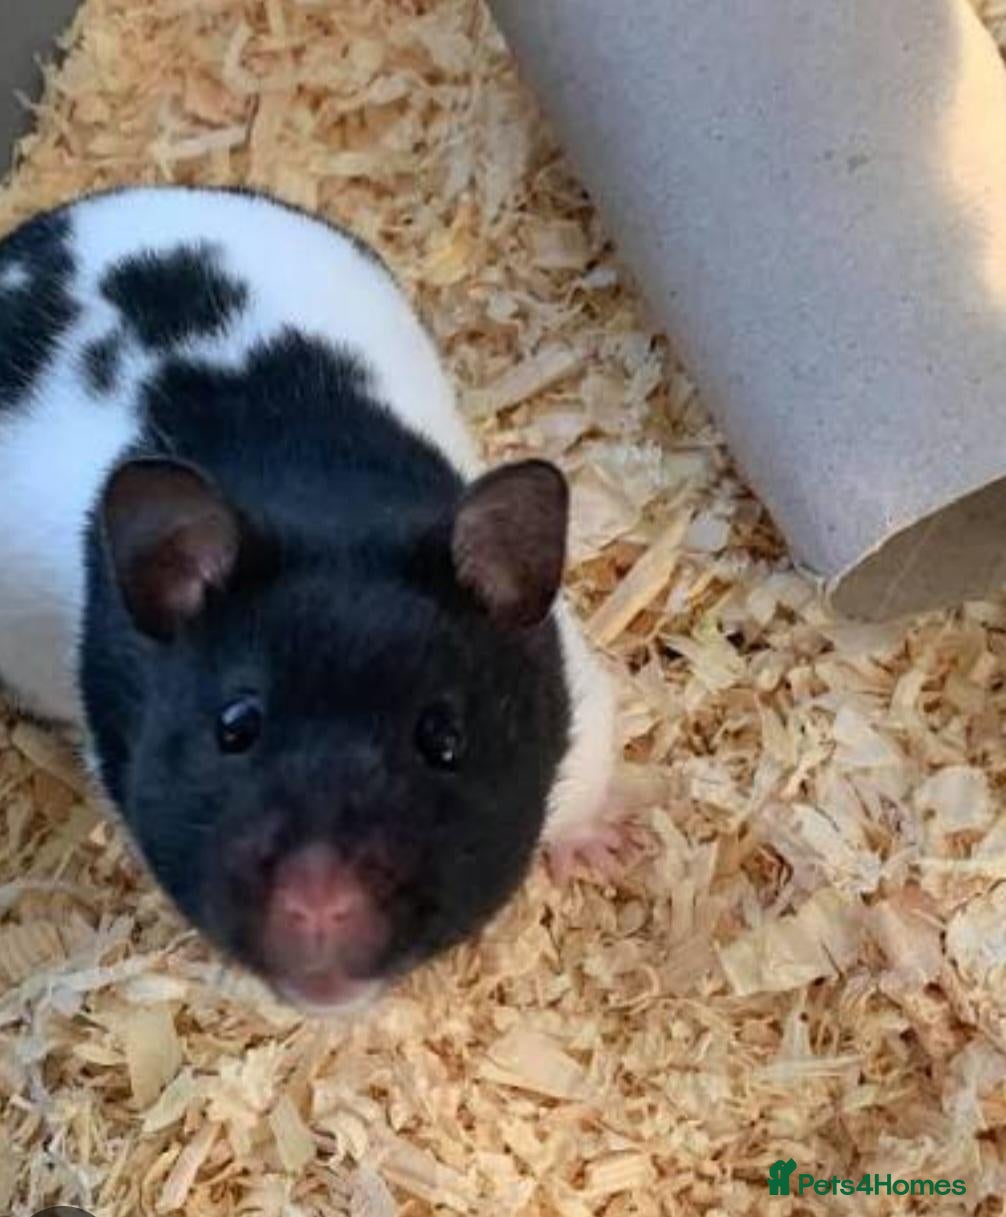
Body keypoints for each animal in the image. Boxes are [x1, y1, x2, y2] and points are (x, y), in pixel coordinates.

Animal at [0, 186, 617, 1011]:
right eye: (235, 727)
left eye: (443, 738)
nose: (319, 909)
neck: (326, 504)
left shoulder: (578, 682)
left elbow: (587, 780)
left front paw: (608, 853)